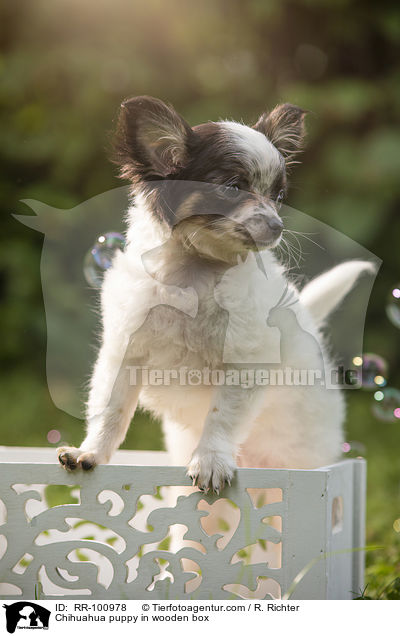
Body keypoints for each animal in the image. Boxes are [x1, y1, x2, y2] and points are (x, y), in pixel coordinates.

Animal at [57, 95, 374, 492]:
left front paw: (210, 460)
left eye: (278, 196)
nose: (277, 226)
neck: (195, 272)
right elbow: (110, 409)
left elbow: (221, 418)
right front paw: (91, 452)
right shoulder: (126, 351)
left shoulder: (243, 361)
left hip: (298, 458)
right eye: (232, 188)